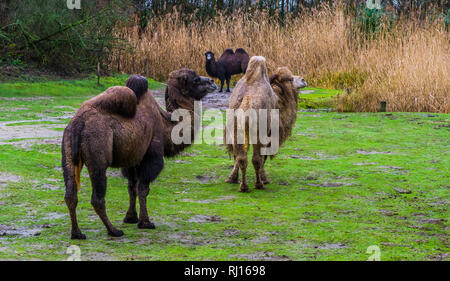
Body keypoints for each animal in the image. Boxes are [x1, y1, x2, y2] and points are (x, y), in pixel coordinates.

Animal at [61, 69, 216, 237]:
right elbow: (143, 189)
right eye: (195, 80)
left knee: (70, 194)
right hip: (97, 153)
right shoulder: (151, 157)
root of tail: (79, 123)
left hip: (67, 149)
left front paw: (131, 217)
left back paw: (77, 233)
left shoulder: (132, 158)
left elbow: (131, 187)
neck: (166, 125)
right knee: (97, 196)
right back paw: (113, 230)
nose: (212, 82)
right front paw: (145, 222)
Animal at [225, 61, 306, 191]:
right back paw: (259, 184)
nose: (303, 80)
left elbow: (237, 156)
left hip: (236, 127)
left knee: (241, 157)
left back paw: (244, 186)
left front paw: (232, 178)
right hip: (259, 130)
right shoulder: (271, 134)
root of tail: (247, 103)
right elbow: (264, 157)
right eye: (291, 78)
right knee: (256, 159)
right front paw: (264, 178)